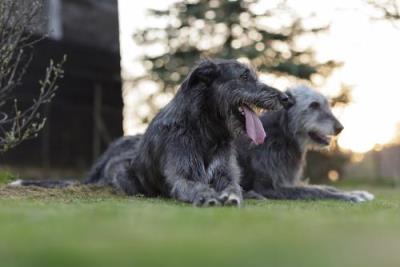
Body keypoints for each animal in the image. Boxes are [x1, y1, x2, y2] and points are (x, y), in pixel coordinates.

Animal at [9, 59, 290, 208]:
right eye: (244, 77)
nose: (286, 98)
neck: (206, 131)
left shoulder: (225, 171)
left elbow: (233, 184)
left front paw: (232, 194)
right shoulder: (181, 171)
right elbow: (190, 183)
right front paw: (205, 195)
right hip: (123, 173)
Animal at [236, 86, 374, 203]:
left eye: (327, 105)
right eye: (314, 105)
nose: (340, 128)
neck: (283, 134)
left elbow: (324, 187)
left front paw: (358, 193)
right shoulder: (270, 187)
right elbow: (314, 190)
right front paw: (348, 197)